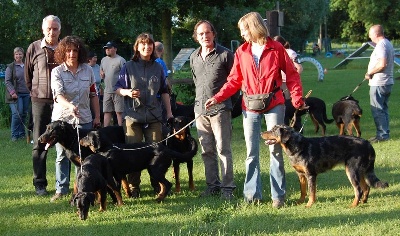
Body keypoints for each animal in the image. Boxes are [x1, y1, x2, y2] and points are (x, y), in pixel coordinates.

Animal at [260, 124, 390, 207]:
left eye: (273, 130)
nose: (261, 133)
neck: (297, 146)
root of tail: (367, 143)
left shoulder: (311, 175)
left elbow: (311, 192)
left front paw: (309, 205)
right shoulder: (301, 174)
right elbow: (303, 191)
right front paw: (300, 202)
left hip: (352, 171)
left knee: (358, 189)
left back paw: (353, 205)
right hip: (361, 171)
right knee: (366, 187)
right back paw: (363, 202)